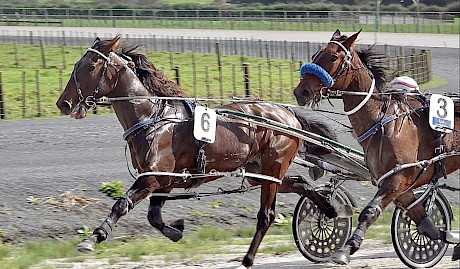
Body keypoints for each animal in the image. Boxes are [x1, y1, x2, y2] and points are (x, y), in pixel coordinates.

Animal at [55, 34, 342, 266]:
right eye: (77, 64)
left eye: (90, 65)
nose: (63, 103)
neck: (153, 117)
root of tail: (288, 113)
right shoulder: (164, 181)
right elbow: (154, 217)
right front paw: (177, 230)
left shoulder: (152, 177)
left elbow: (121, 204)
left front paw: (93, 238)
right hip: (259, 171)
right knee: (300, 182)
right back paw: (328, 209)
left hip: (272, 168)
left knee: (267, 215)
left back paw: (248, 258)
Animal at [292, 28, 458, 262]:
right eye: (315, 54)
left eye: (333, 57)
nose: (301, 92)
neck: (382, 119)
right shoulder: (398, 183)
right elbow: (423, 221)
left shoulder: (398, 177)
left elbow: (370, 212)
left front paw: (346, 249)